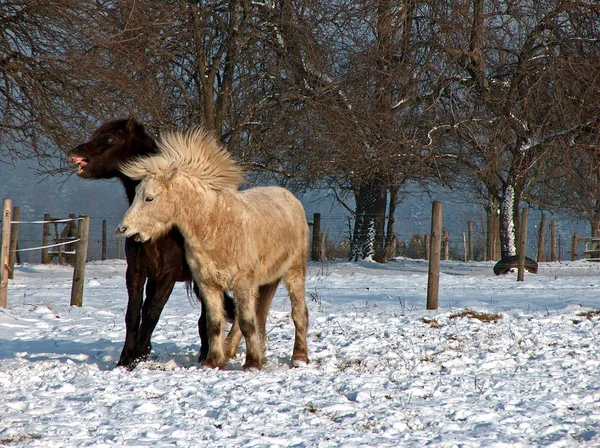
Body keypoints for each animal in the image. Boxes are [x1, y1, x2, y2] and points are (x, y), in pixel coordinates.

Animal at [67, 117, 276, 370]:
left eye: (110, 139)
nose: (75, 154)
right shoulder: (137, 271)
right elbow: (133, 314)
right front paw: (126, 359)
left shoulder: (168, 275)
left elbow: (152, 313)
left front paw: (139, 355)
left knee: (206, 316)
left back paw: (206, 354)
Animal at [117, 128, 310, 370]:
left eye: (149, 198)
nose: (123, 228)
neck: (214, 225)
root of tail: (291, 198)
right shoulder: (208, 284)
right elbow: (215, 323)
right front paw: (213, 361)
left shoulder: (243, 283)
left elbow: (247, 322)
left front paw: (252, 363)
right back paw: (231, 350)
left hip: (294, 272)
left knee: (298, 313)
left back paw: (299, 357)